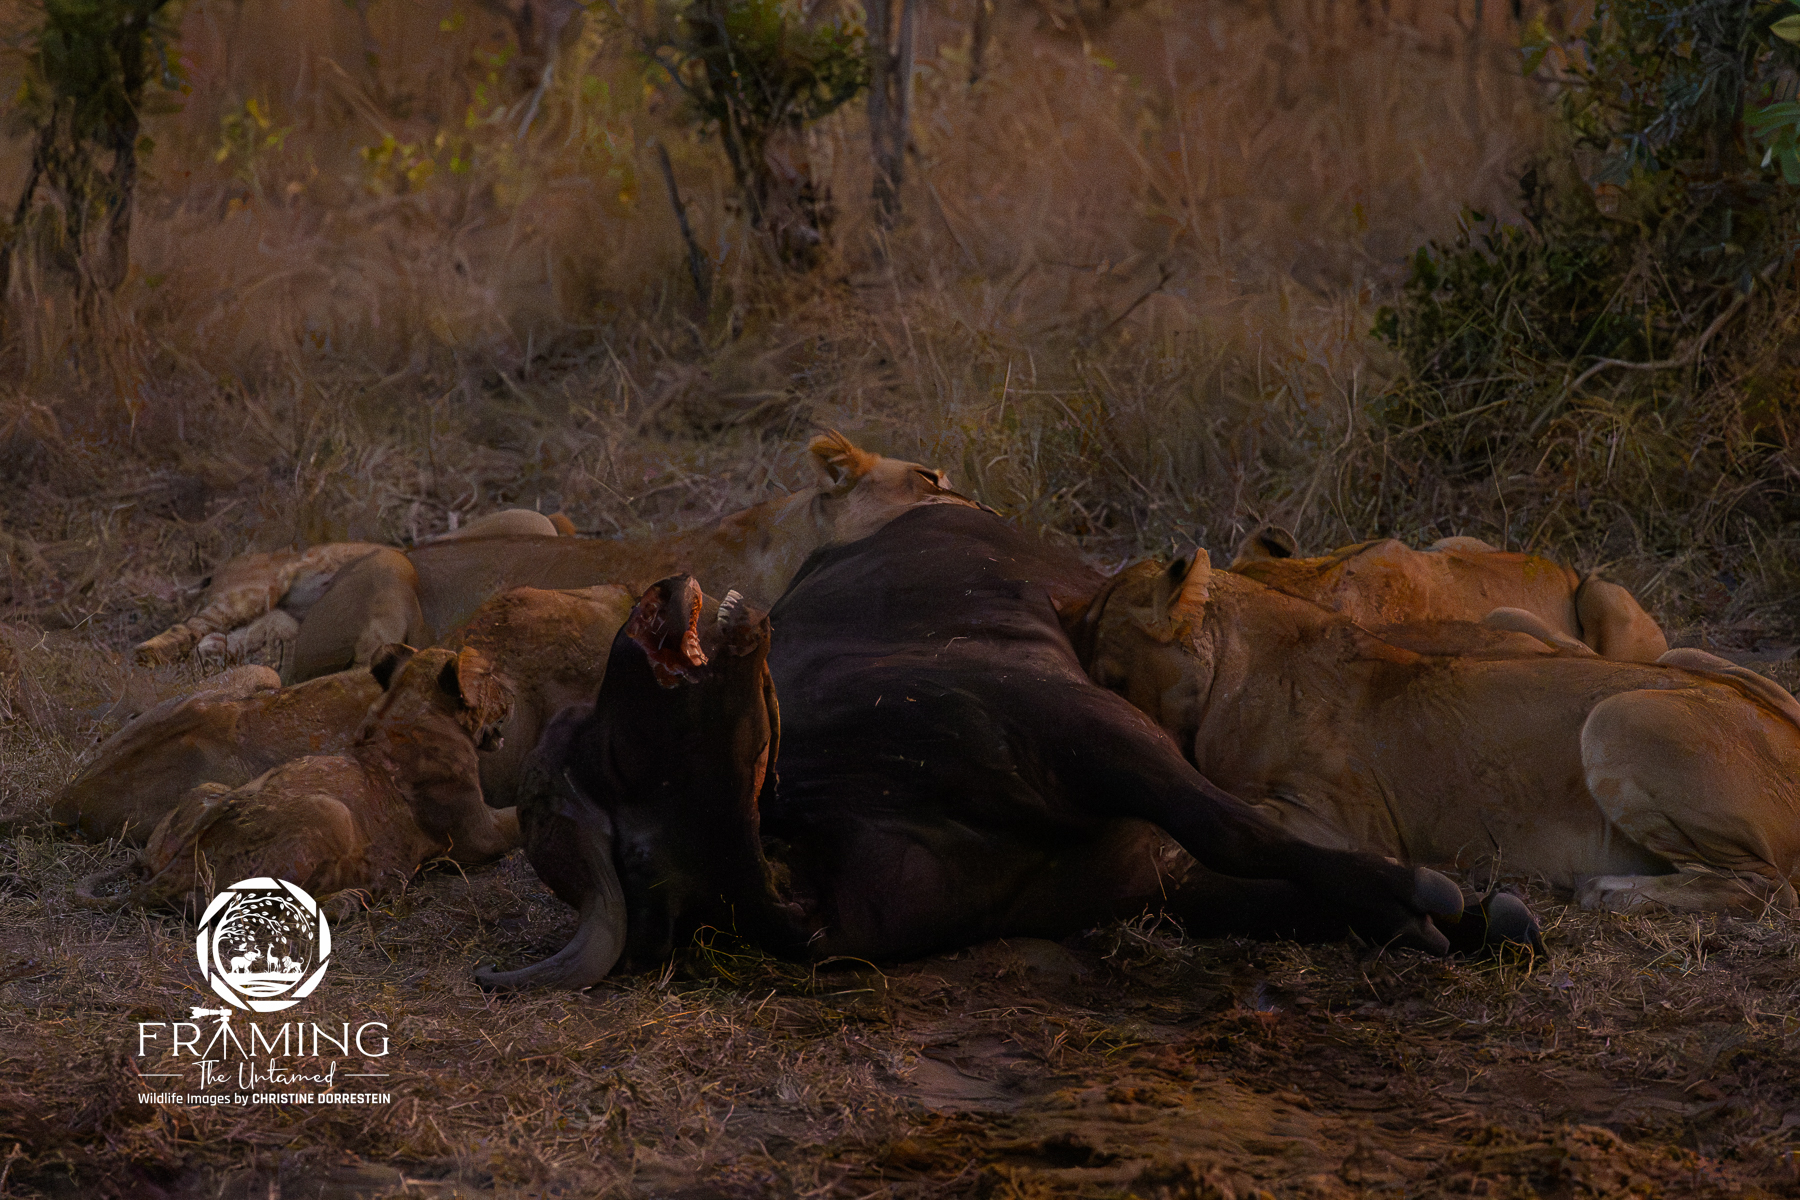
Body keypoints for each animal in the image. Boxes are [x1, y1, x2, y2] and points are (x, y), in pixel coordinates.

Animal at [74, 645, 519, 915]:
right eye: (492, 676)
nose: (514, 694)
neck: (406, 712)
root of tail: (176, 866)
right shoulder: (478, 834)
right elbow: (515, 819)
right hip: (330, 811)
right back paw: (357, 896)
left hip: (210, 791)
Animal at [1082, 550, 1800, 915]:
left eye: (1110, 675)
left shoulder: (1346, 823)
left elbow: (1223, 818)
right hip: (1683, 659)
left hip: (1619, 716)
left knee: (1764, 884)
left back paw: (1605, 890)